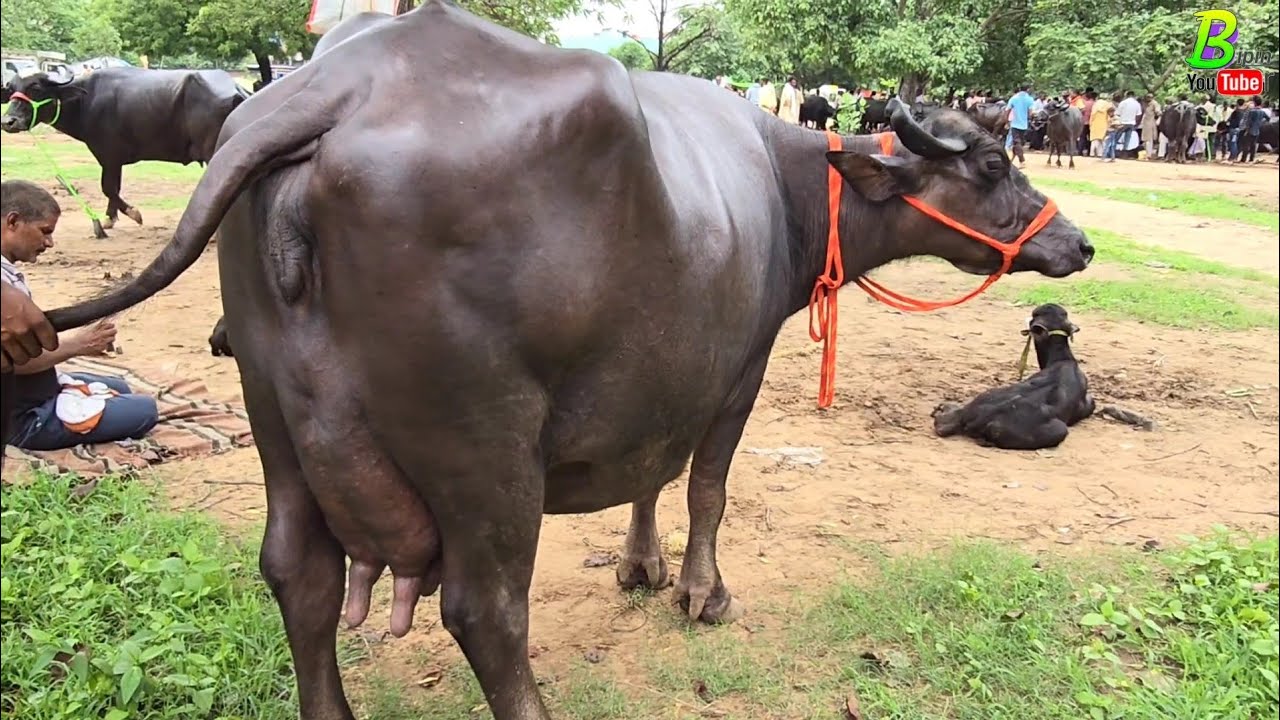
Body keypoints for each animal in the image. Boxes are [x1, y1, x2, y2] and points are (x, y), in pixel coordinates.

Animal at [2, 68, 251, 238]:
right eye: (12, 89)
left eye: (35, 88)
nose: (8, 122)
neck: (85, 100)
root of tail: (237, 90)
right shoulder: (114, 160)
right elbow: (114, 188)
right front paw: (110, 218)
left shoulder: (109, 155)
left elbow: (108, 188)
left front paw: (132, 213)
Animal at [42, 3, 1094, 718]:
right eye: (991, 167)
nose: (1076, 243)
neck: (784, 185)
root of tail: (339, 85)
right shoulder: (738, 370)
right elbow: (707, 483)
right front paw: (700, 590)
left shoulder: (661, 373)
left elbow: (650, 472)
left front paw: (639, 564)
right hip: (485, 445)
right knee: (487, 610)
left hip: (272, 414)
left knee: (297, 574)